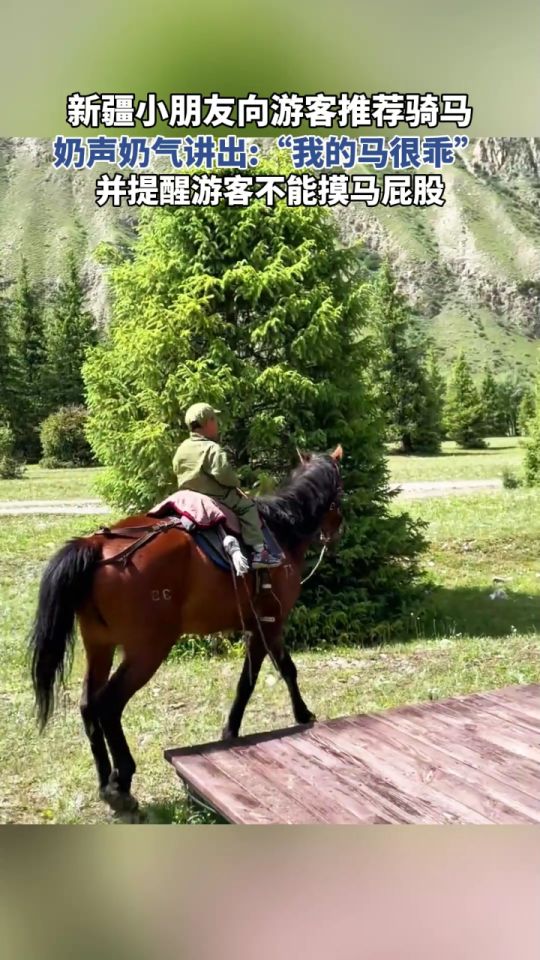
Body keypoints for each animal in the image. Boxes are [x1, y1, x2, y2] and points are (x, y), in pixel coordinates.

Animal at [28, 446, 342, 812]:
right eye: (341, 489)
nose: (336, 532)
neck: (281, 531)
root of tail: (97, 547)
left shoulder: (257, 626)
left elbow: (262, 675)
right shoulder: (270, 624)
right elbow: (266, 676)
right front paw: (294, 716)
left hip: (99, 645)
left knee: (88, 705)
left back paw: (106, 783)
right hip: (147, 651)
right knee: (109, 704)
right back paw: (122, 783)